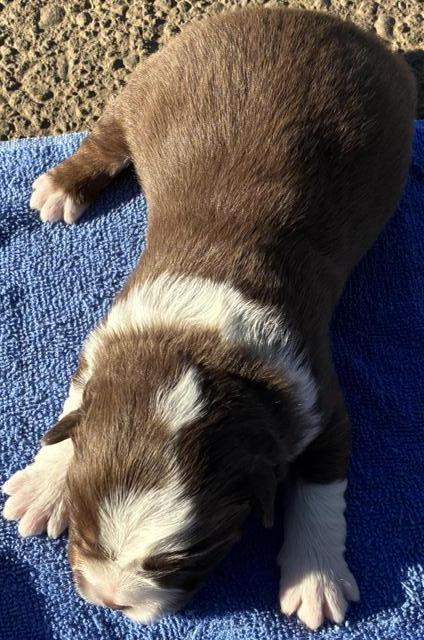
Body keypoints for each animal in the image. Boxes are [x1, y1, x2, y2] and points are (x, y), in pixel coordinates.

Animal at [2, 7, 415, 630]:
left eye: (186, 558)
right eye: (85, 525)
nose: (107, 599)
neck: (196, 345)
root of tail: (311, 16)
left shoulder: (319, 396)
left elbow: (322, 489)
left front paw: (316, 581)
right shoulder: (108, 342)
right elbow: (74, 407)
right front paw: (43, 485)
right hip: (153, 81)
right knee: (110, 135)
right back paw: (62, 186)